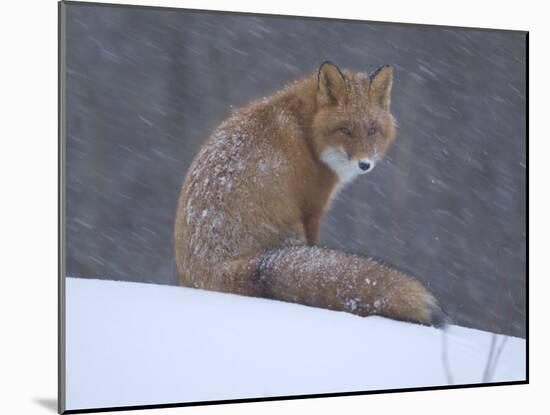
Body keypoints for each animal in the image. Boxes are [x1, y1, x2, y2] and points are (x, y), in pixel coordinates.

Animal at [177, 62, 448, 328]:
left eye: (372, 130)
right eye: (345, 130)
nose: (364, 164)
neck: (306, 130)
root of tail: (213, 268)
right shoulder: (313, 207)